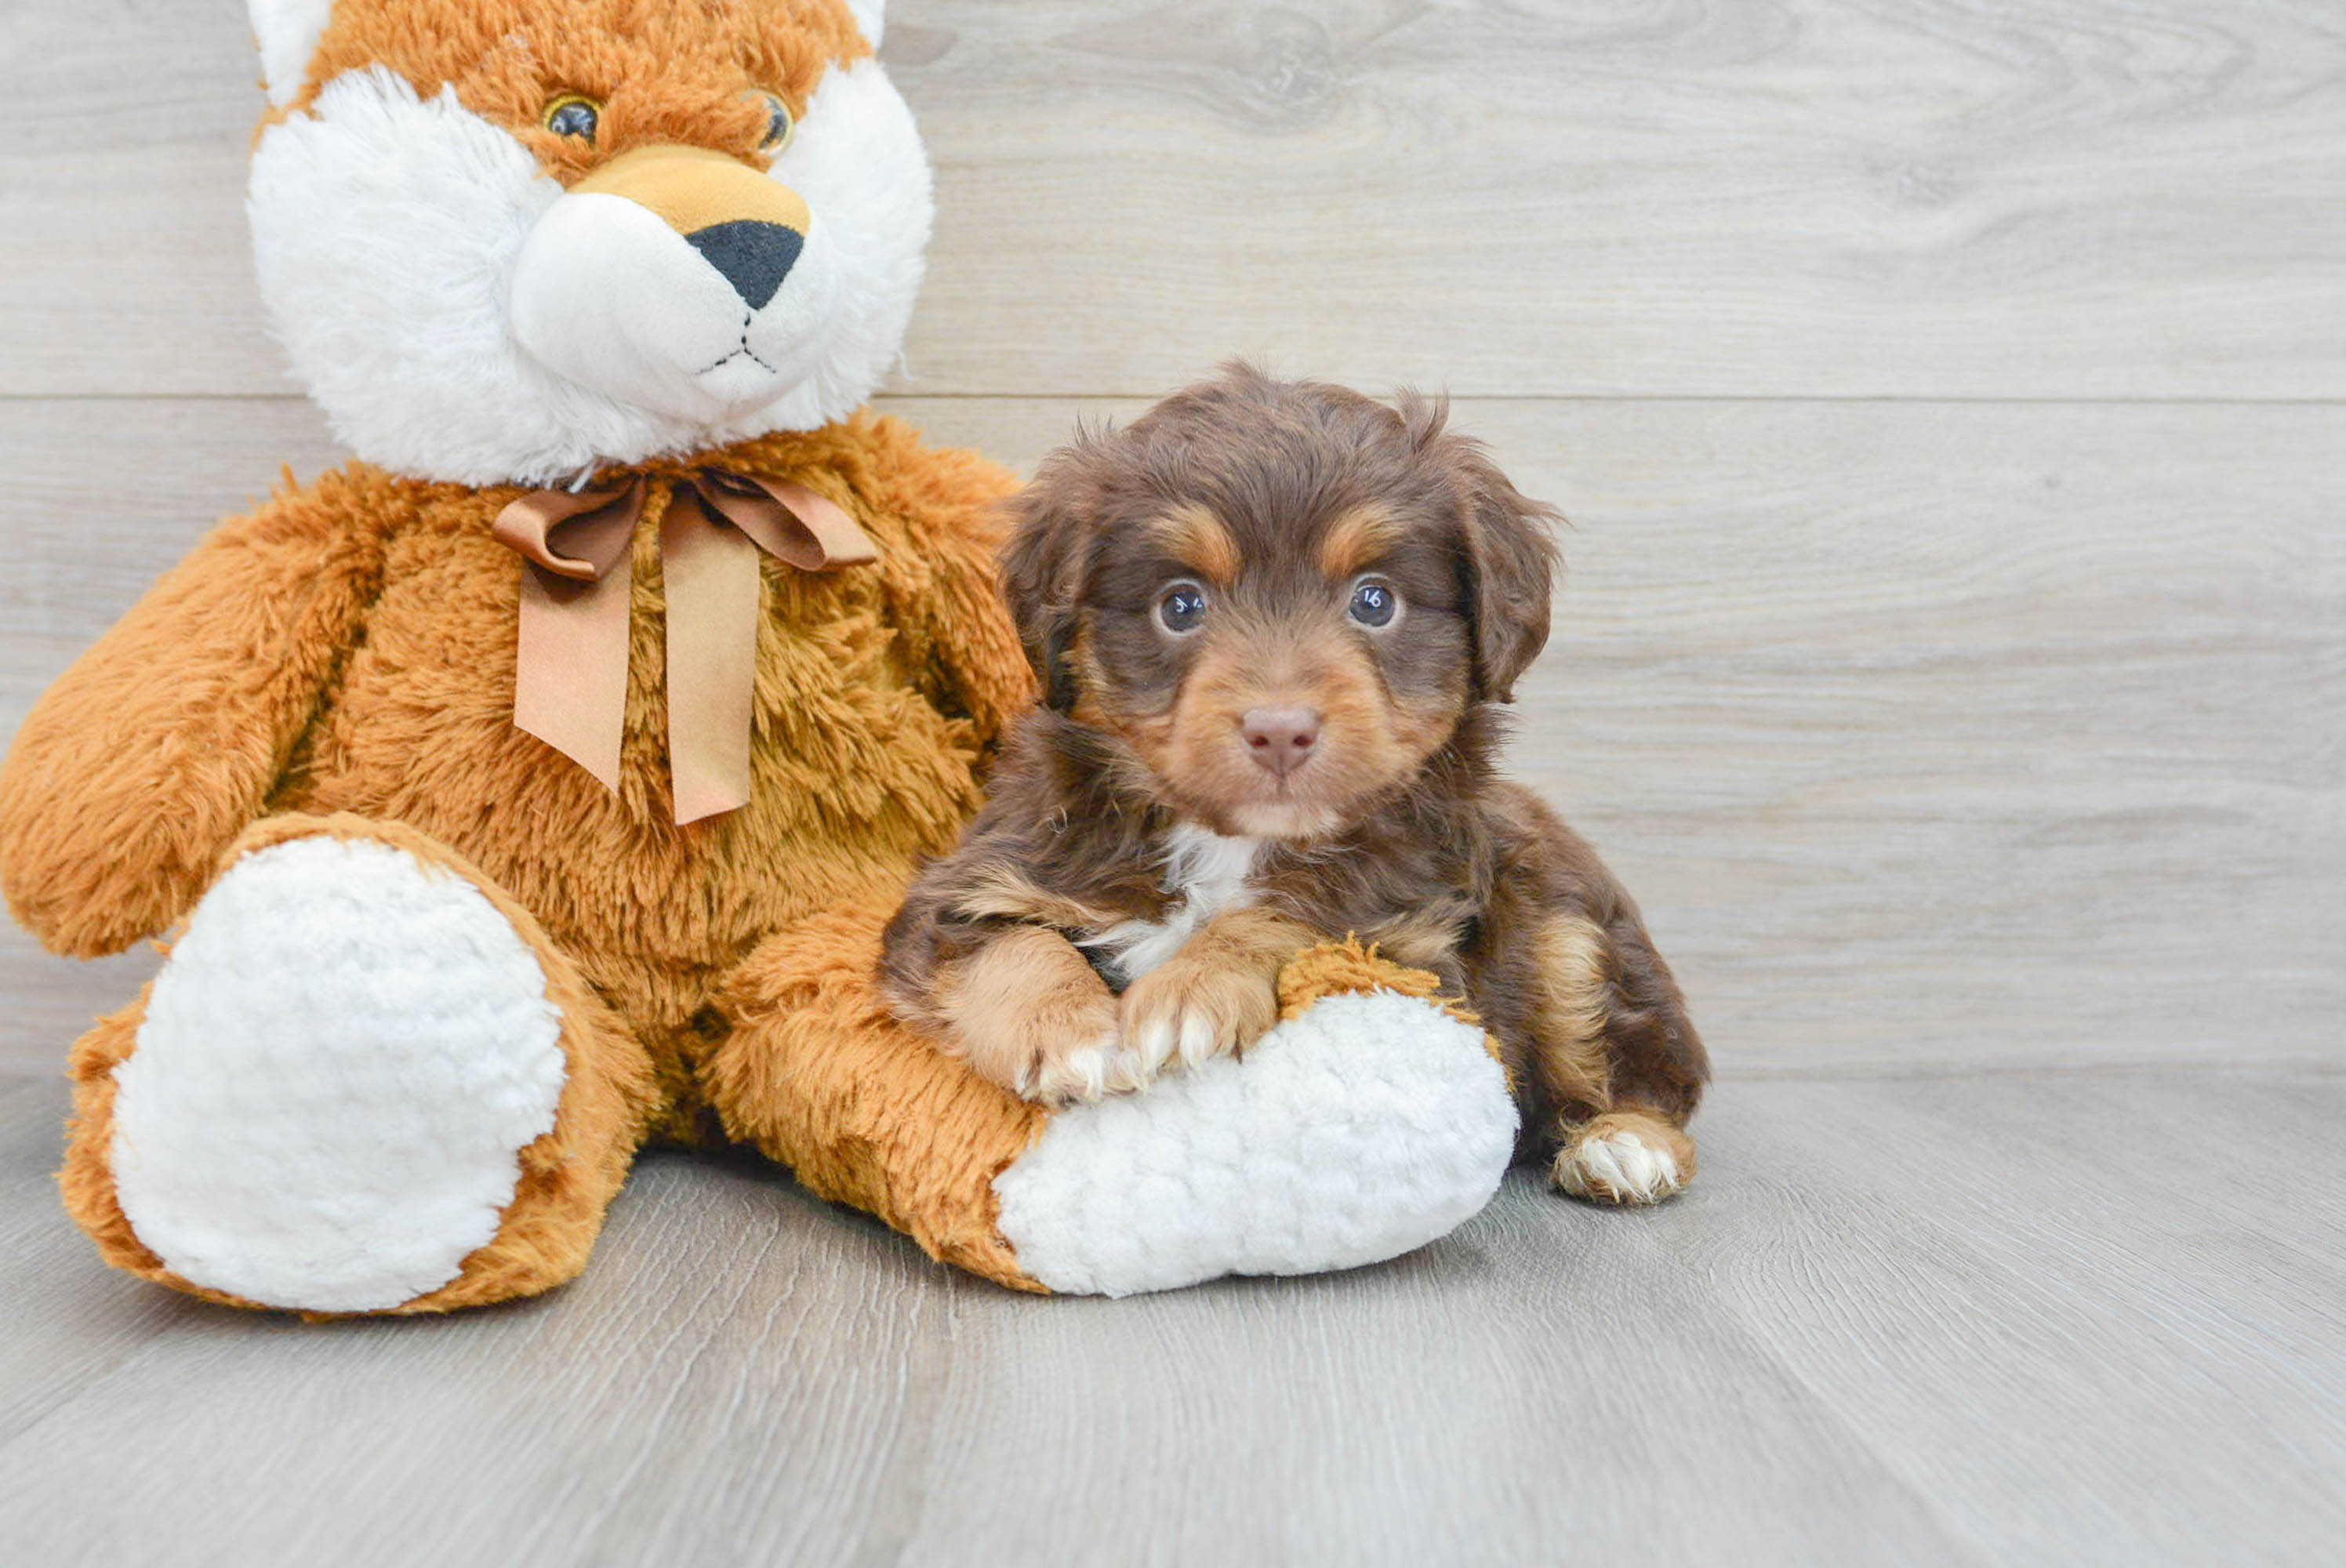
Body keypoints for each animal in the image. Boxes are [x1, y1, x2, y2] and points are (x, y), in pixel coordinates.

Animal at [881, 364, 1708, 1201]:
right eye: (1179, 604)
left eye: (1375, 600)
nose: (1280, 730)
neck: (1229, 840)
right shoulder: (975, 878)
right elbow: (1011, 945)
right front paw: (1068, 1032)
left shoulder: (1416, 943)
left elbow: (1293, 913)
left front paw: (1194, 989)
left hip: (1570, 937)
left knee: (1651, 1072)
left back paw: (1625, 1147)